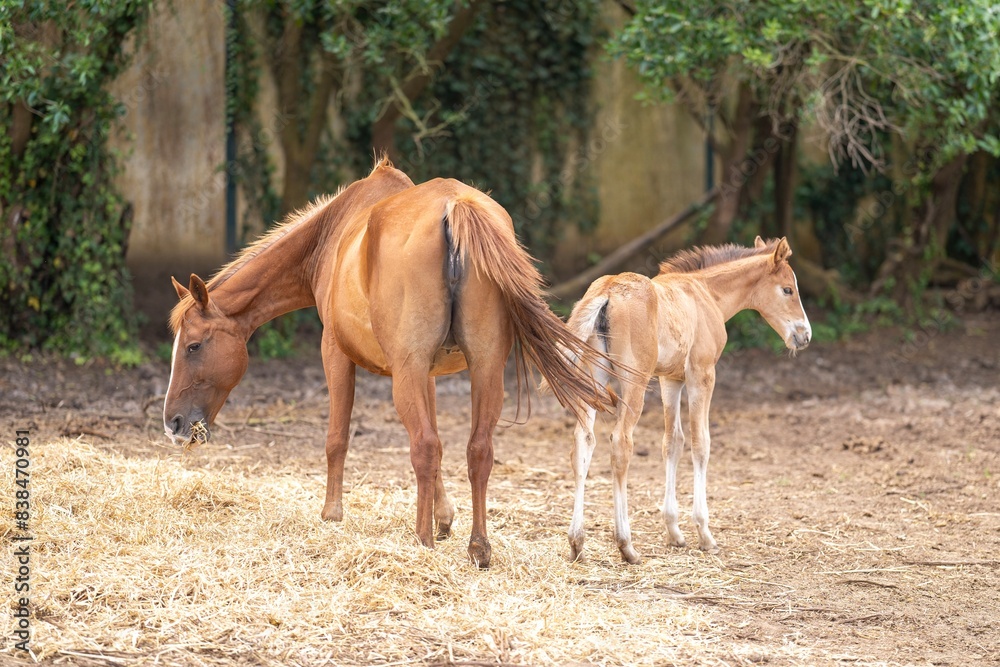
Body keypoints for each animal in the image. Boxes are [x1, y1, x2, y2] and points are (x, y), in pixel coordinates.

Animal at [162, 159, 619, 568]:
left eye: (193, 346)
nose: (173, 422)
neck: (332, 236)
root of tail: (454, 205)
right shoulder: (427, 374)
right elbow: (442, 443)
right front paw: (443, 518)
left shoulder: (337, 354)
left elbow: (337, 438)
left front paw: (332, 515)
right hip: (484, 369)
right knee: (477, 450)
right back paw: (478, 548)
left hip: (411, 375)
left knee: (424, 447)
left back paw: (421, 543)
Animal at [558, 236, 811, 564]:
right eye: (788, 289)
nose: (804, 335)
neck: (707, 293)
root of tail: (608, 291)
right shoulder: (701, 374)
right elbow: (701, 443)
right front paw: (705, 534)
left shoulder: (671, 380)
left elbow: (673, 442)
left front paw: (674, 532)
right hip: (634, 382)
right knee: (621, 444)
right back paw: (626, 545)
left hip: (593, 377)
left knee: (583, 441)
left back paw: (577, 543)